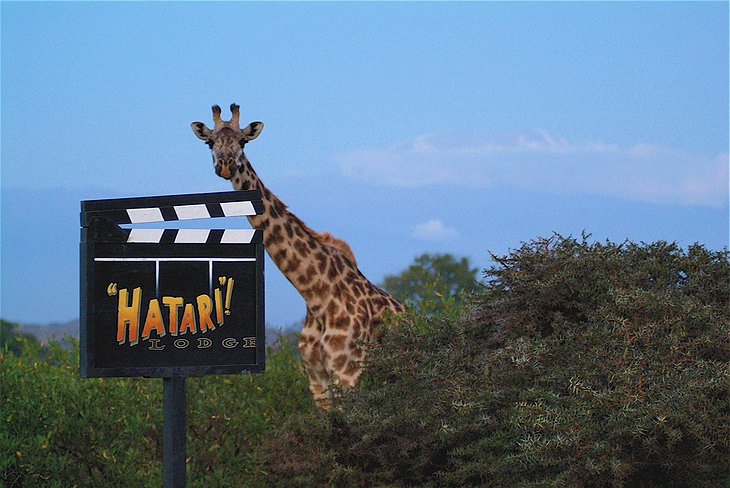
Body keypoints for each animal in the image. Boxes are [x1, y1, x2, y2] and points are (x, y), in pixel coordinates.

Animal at [189, 105, 404, 410]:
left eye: (243, 141)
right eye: (210, 142)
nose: (227, 164)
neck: (315, 294)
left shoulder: (348, 373)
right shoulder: (316, 379)